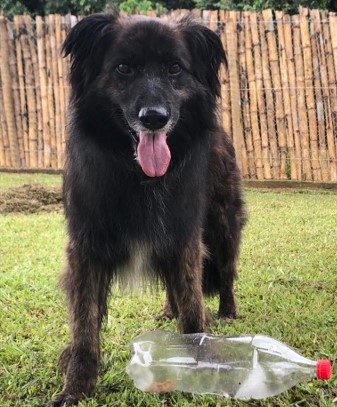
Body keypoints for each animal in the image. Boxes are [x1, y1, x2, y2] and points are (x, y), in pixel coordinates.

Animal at [50, 10, 244, 407]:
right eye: (123, 68)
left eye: (174, 68)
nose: (154, 117)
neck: (136, 174)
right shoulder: (86, 247)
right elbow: (84, 324)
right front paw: (76, 386)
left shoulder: (183, 233)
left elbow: (192, 302)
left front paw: (197, 363)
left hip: (222, 227)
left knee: (225, 273)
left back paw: (227, 313)